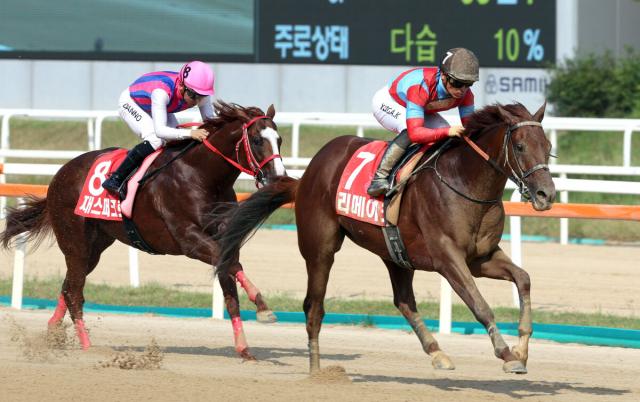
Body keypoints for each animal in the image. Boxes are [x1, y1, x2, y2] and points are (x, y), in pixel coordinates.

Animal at [0, 101, 284, 362]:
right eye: (257, 140)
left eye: (279, 139)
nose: (278, 178)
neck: (202, 175)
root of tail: (59, 175)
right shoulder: (189, 240)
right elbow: (232, 267)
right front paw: (263, 307)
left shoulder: (225, 239)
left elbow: (230, 285)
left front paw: (244, 347)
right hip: (75, 241)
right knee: (75, 291)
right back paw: (88, 346)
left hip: (95, 246)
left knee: (68, 286)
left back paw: (54, 334)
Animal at [212, 103, 552, 374]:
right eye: (520, 146)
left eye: (547, 145)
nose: (545, 194)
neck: (465, 181)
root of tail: (306, 175)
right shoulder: (448, 258)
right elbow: (479, 305)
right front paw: (507, 355)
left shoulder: (480, 258)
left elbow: (523, 279)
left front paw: (522, 349)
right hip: (320, 248)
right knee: (314, 306)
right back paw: (317, 371)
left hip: (395, 254)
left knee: (403, 301)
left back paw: (437, 353)